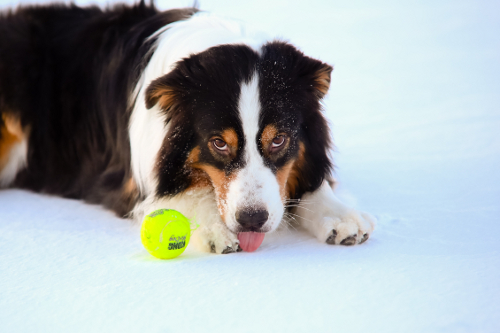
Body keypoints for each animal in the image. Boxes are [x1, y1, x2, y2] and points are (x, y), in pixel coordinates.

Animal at [0, 1, 374, 253]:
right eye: (219, 144)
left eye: (279, 139)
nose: (252, 220)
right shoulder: (132, 184)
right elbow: (183, 194)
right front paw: (212, 228)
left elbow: (310, 183)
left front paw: (339, 215)